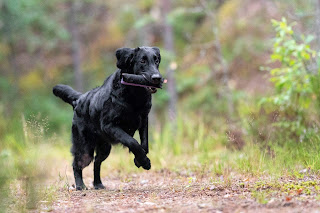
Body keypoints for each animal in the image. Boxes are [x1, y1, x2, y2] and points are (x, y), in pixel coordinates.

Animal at [53, 46, 162, 190]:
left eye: (156, 60)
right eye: (142, 61)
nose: (157, 78)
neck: (133, 94)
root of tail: (79, 99)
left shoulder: (144, 119)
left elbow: (144, 144)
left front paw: (140, 160)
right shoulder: (109, 125)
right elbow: (132, 142)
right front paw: (144, 161)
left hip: (105, 148)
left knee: (97, 162)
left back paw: (98, 183)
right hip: (85, 148)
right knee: (77, 164)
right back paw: (80, 185)